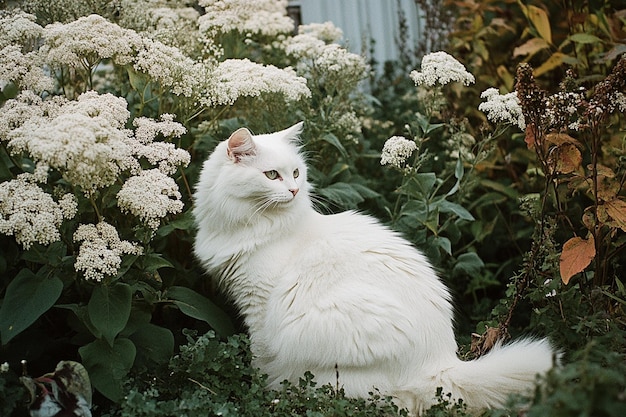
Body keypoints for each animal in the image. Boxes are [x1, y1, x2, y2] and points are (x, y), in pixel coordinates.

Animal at [191, 122, 556, 412]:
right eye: (272, 175)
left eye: (295, 173)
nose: (294, 190)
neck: (252, 225)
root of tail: (442, 365)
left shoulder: (259, 309)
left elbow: (258, 359)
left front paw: (258, 392)